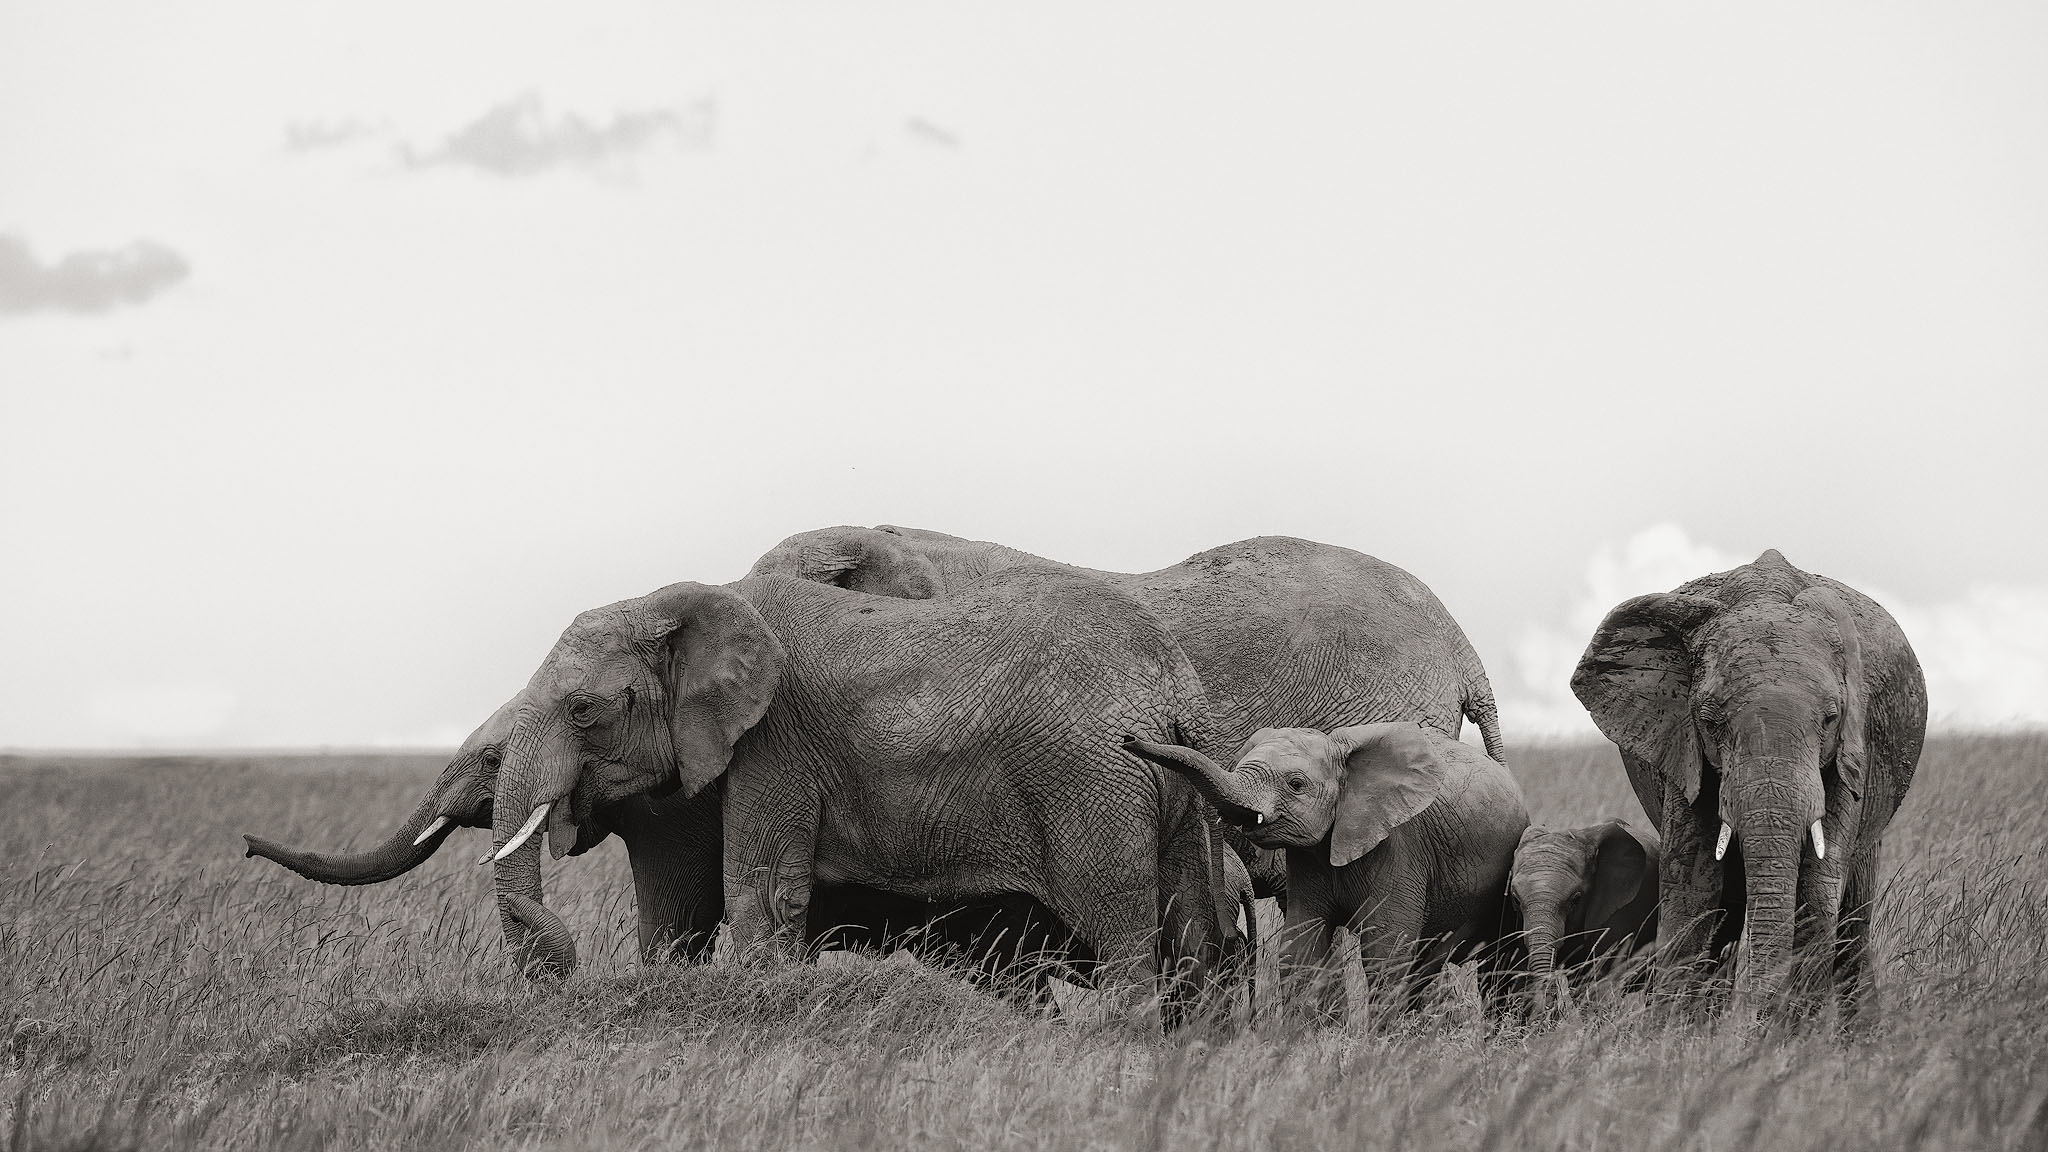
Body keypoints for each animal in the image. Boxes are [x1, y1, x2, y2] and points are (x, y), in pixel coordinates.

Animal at [482, 566, 1238, 1023]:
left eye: (583, 710)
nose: (555, 974)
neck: (694, 597)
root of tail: (1175, 683)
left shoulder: (776, 740)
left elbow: (759, 890)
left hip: (1091, 782)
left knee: (1120, 920)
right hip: (1174, 791)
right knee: (1189, 919)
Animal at [1125, 721, 1527, 1020]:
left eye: (1296, 784)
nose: (1129, 739)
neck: (1341, 752)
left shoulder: (1400, 843)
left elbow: (1385, 948)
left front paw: (1379, 1047)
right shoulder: (1308, 857)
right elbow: (1301, 943)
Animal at [1571, 548, 1926, 1024]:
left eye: (1830, 718)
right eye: (1709, 721)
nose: (1758, 1020)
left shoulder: (1856, 746)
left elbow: (1818, 888)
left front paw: (1798, 1036)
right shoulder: (1682, 745)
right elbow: (1692, 880)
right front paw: (1670, 1035)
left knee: (1854, 921)